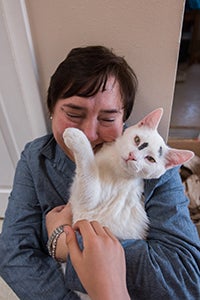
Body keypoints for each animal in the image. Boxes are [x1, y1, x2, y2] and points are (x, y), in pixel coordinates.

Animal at [63, 107, 194, 298]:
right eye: (137, 139)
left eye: (150, 159)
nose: (133, 156)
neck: (115, 165)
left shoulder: (89, 197)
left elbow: (88, 169)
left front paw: (76, 136)